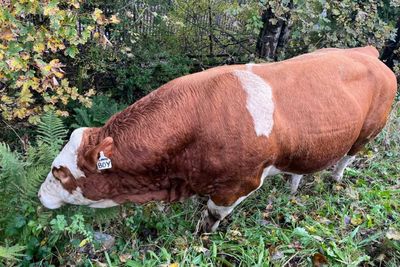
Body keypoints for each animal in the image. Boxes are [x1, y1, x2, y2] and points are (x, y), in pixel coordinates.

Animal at [39, 47, 396, 233]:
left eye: (61, 172)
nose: (41, 196)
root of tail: (366, 51)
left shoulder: (238, 184)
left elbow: (211, 216)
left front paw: (201, 236)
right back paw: (293, 187)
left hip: (368, 132)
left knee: (348, 156)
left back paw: (335, 179)